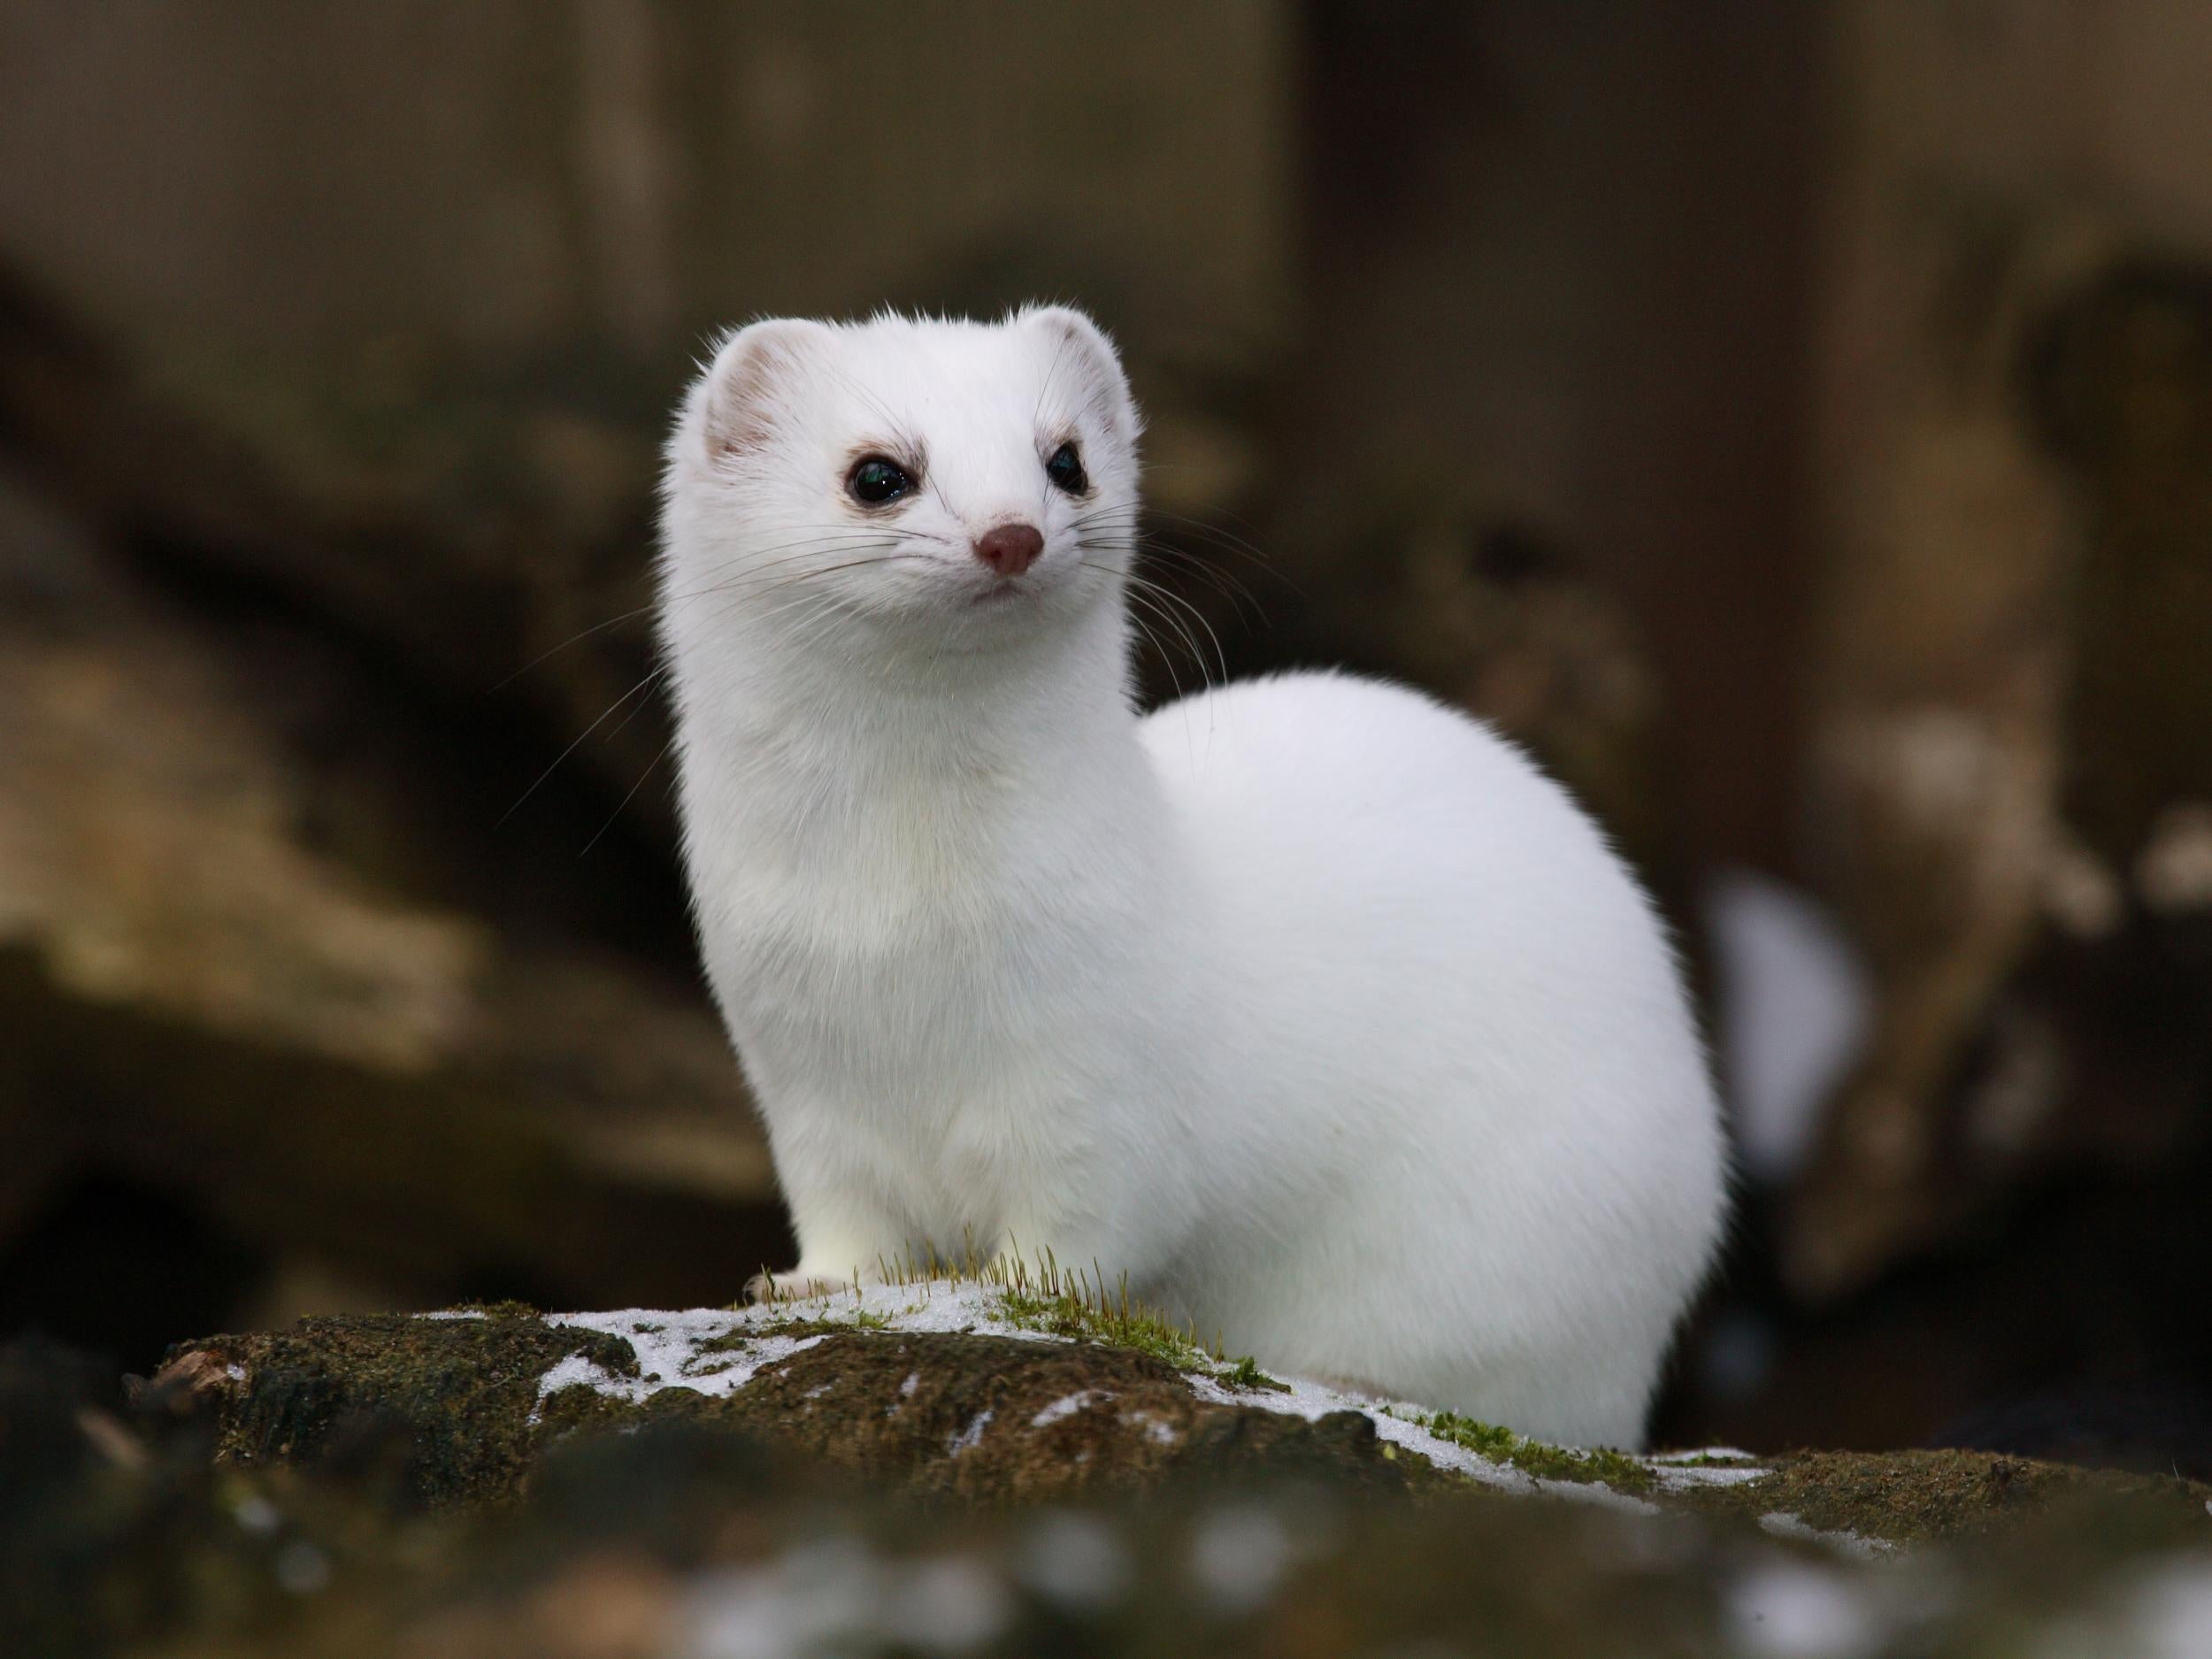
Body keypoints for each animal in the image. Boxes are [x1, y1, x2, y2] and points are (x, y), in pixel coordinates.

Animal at [655, 305, 1725, 1451]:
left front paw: (1017, 1295)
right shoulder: (798, 1073)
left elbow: (1089, 1223)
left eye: (1065, 460)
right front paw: (805, 1286)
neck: (899, 936)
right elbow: (847, 1219)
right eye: (876, 474)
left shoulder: (1102, 1070)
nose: (1011, 532)